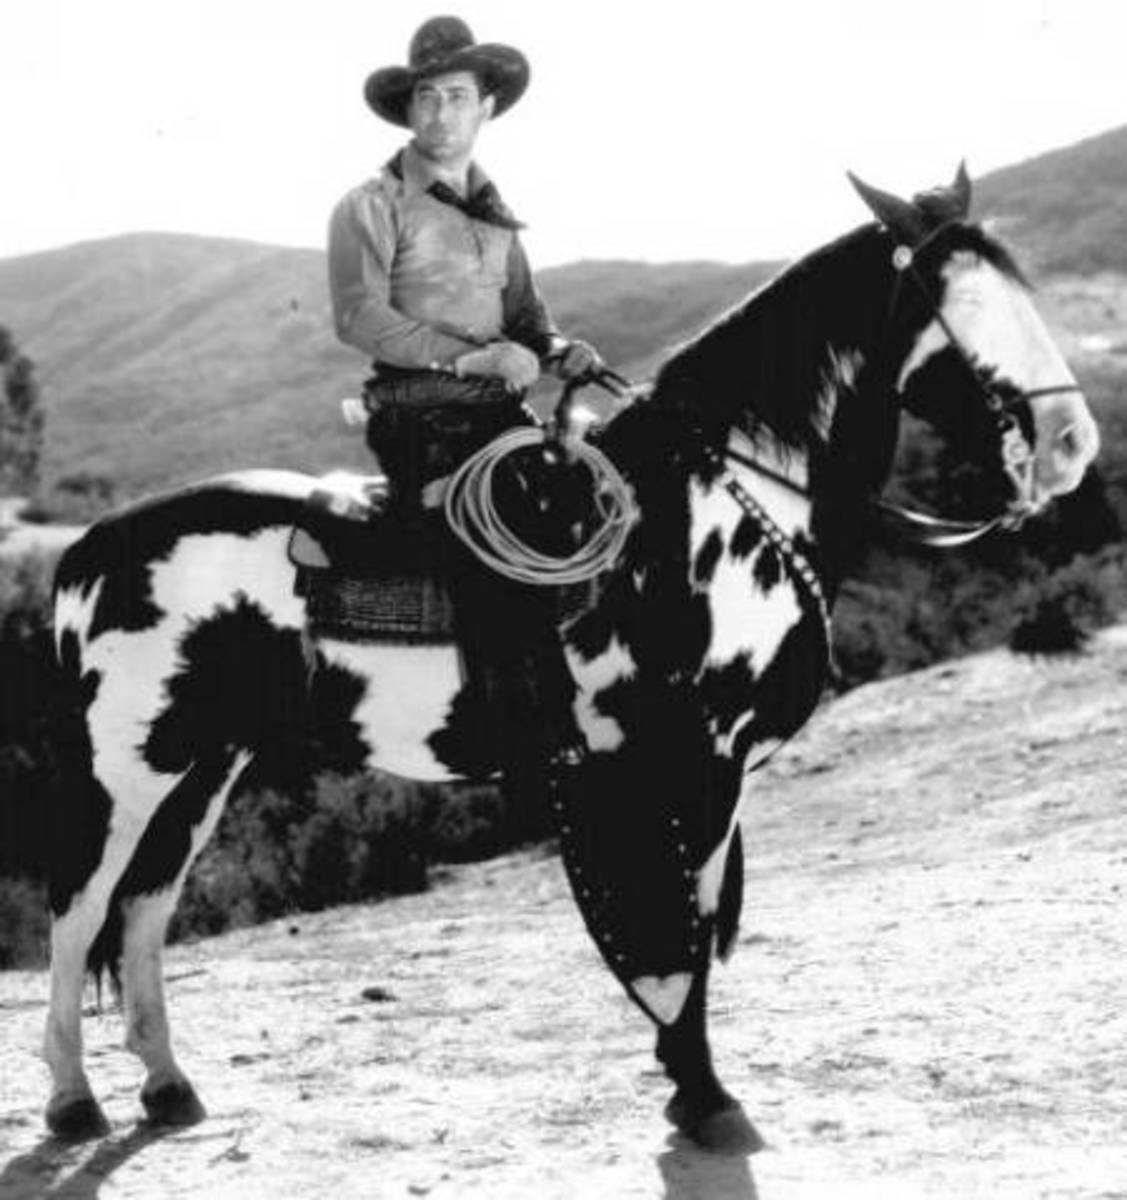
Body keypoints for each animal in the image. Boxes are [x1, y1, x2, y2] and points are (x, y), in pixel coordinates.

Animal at [41, 166, 1098, 1151]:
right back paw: (73, 1101)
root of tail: (88, 551)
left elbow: (694, 919)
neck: (712, 500)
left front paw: (684, 1079)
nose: (1072, 444)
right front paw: (703, 1094)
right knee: (78, 907)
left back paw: (168, 1087)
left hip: (206, 767)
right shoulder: (693, 759)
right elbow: (680, 928)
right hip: (127, 767)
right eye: (959, 304)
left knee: (143, 910)